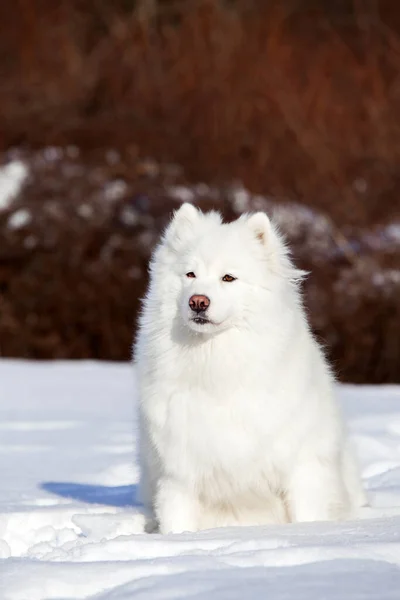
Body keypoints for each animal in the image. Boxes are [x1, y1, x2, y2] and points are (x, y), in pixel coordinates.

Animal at [136, 204, 368, 532]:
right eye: (190, 274)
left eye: (228, 278)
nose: (198, 301)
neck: (217, 367)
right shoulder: (178, 472)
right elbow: (177, 521)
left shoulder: (302, 466)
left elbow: (307, 515)